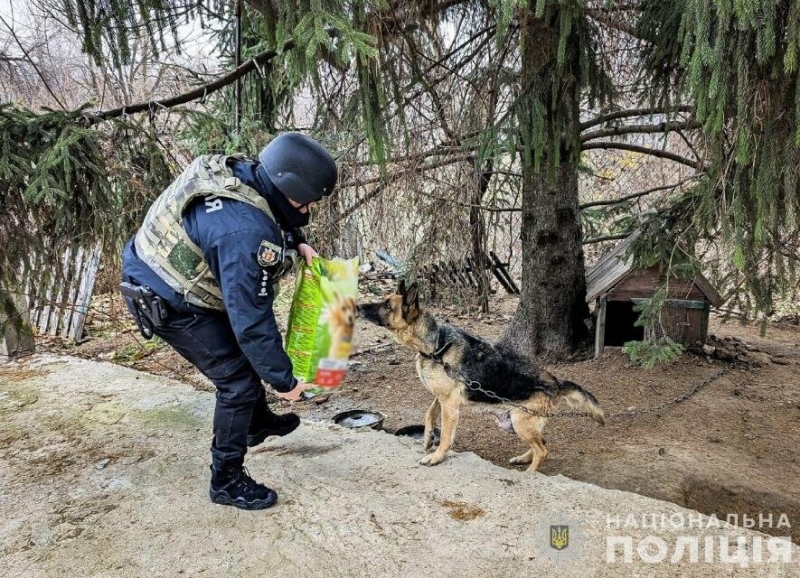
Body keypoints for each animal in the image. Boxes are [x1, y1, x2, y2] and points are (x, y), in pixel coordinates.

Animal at [358, 282, 608, 470]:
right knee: (543, 442)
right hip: (516, 424)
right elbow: (429, 415)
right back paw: (522, 459)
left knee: (543, 451)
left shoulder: (450, 405)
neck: (436, 345)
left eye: (387, 305)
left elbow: (446, 435)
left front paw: (437, 456)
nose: (358, 306)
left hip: (521, 422)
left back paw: (529, 474)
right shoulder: (441, 398)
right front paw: (428, 438)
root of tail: (556, 383)